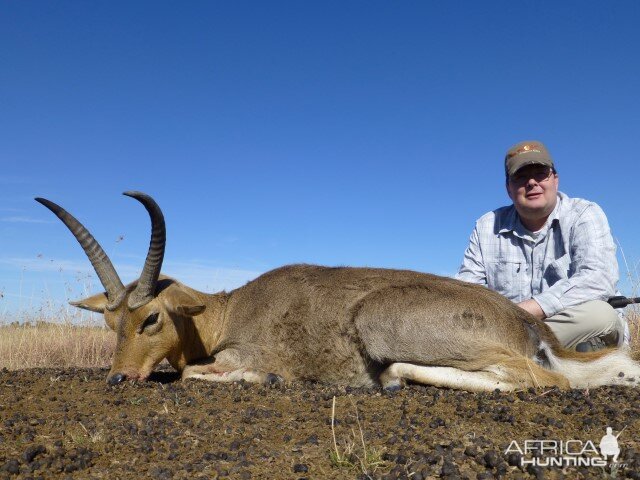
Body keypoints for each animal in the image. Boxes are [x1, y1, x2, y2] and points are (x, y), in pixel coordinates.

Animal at [36, 193, 640, 392]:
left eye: (151, 318)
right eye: (110, 322)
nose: (118, 376)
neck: (226, 310)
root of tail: (523, 321)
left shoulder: (243, 353)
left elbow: (192, 373)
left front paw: (267, 378)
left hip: (386, 326)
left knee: (545, 380)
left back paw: (390, 379)